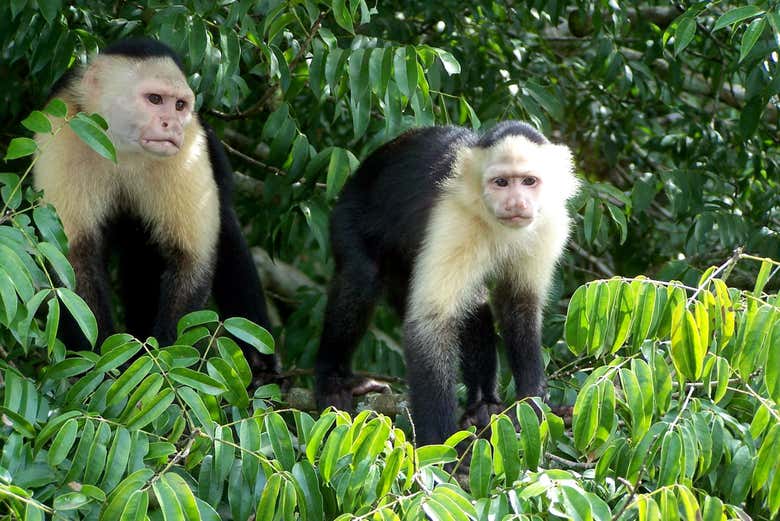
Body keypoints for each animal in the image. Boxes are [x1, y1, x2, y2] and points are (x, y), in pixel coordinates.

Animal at [33, 38, 278, 378]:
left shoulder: (189, 146)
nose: (172, 124)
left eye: (179, 106)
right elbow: (73, 262)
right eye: (155, 99)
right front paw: (103, 367)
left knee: (222, 233)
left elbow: (190, 259)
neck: (120, 146)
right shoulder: (62, 132)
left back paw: (260, 365)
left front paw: (163, 365)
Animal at [314, 121, 579, 445]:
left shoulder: (550, 223)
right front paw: (439, 446)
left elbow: (519, 304)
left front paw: (532, 405)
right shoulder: (454, 217)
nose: (516, 202)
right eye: (501, 182)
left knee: (474, 302)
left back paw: (482, 405)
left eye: (529, 181)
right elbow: (431, 323)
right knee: (361, 275)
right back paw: (332, 377)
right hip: (349, 214)